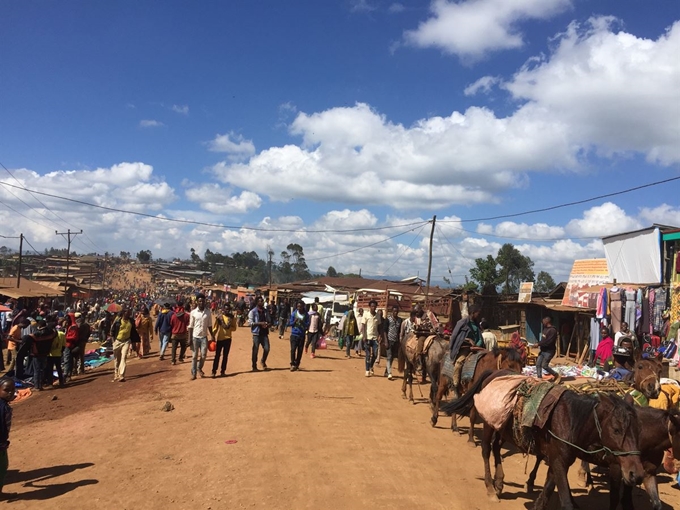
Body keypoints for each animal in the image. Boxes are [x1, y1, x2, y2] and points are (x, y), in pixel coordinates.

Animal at [444, 368, 644, 508]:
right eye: (616, 430)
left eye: (637, 429)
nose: (636, 474)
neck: (571, 420)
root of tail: (493, 373)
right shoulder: (558, 462)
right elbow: (565, 500)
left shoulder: (558, 461)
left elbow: (546, 494)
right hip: (488, 424)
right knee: (486, 450)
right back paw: (491, 489)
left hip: (503, 429)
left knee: (496, 448)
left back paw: (499, 482)